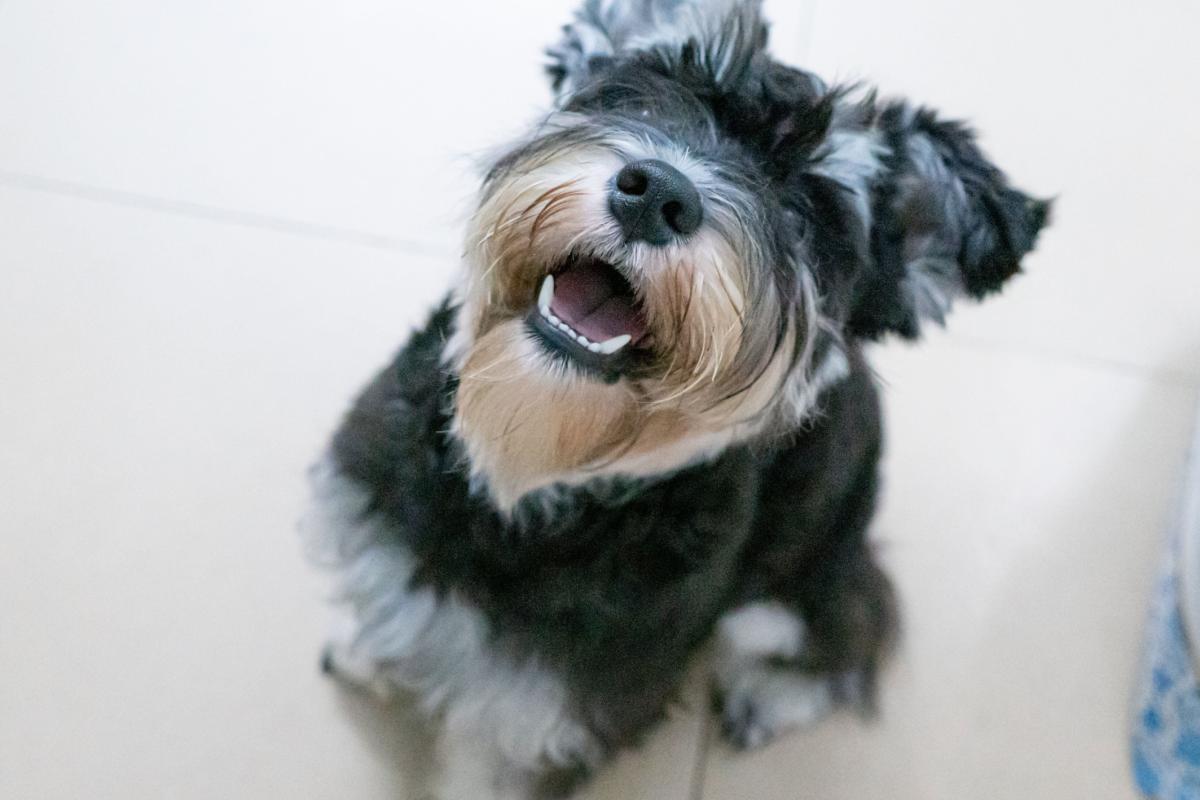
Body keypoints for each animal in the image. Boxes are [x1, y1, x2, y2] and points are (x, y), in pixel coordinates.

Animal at [302, 1, 1050, 797]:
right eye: (648, 91)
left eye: (811, 211)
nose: (659, 193)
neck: (526, 491)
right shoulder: (383, 533)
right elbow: (394, 609)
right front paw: (367, 654)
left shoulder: (557, 712)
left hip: (799, 582)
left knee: (853, 628)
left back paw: (771, 699)